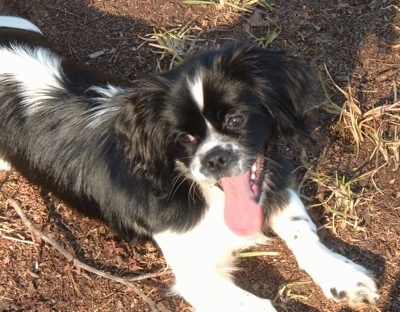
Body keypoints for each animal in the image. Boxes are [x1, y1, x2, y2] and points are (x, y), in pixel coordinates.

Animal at [0, 16, 376, 310]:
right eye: (183, 138)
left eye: (236, 120)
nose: (215, 157)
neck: (212, 198)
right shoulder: (197, 278)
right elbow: (260, 306)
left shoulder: (275, 181)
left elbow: (304, 232)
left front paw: (342, 276)